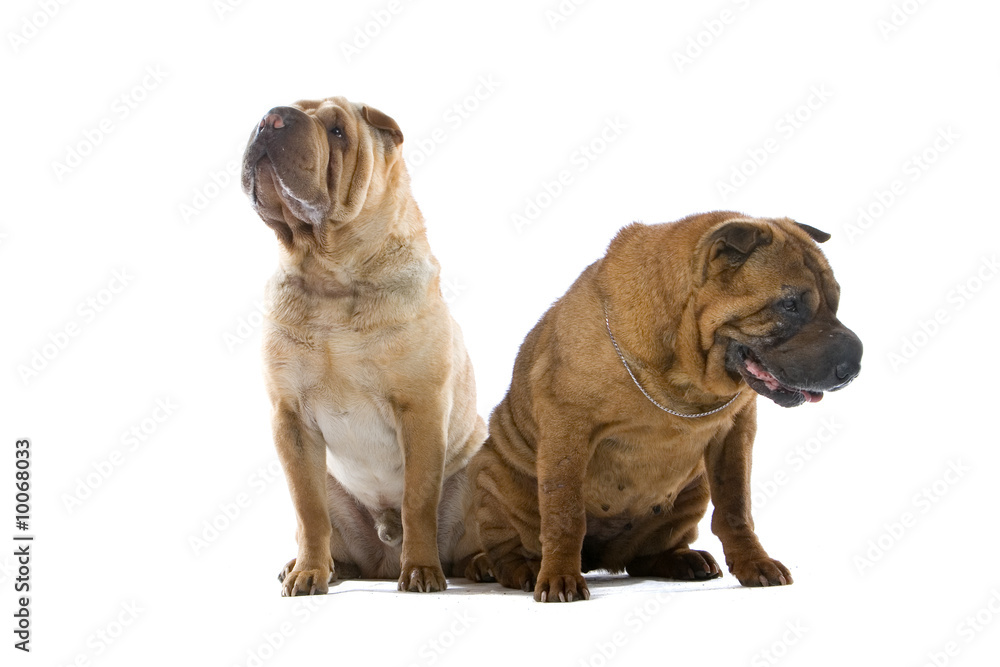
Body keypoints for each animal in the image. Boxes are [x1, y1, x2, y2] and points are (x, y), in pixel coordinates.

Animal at [244, 95, 490, 596]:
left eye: (337, 131)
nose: (270, 119)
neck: (329, 276)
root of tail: (382, 560)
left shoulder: (421, 410)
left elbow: (418, 501)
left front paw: (421, 572)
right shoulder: (290, 419)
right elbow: (308, 510)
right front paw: (308, 574)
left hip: (475, 474)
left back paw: (477, 565)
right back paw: (318, 566)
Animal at [472, 211, 864, 604]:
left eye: (835, 302)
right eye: (789, 305)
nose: (855, 363)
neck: (685, 376)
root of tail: (600, 560)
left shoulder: (735, 434)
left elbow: (735, 507)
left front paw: (754, 563)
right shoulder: (567, 427)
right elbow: (564, 514)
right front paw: (558, 577)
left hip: (695, 487)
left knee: (645, 556)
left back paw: (684, 560)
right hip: (493, 476)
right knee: (507, 551)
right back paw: (523, 569)